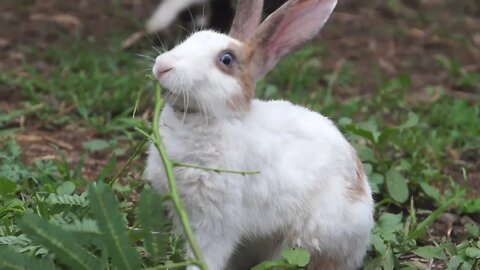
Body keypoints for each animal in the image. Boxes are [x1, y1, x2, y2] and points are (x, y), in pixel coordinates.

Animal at [144, 0, 376, 270]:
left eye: (226, 59)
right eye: (192, 37)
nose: (162, 65)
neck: (212, 118)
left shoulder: (216, 222)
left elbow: (206, 258)